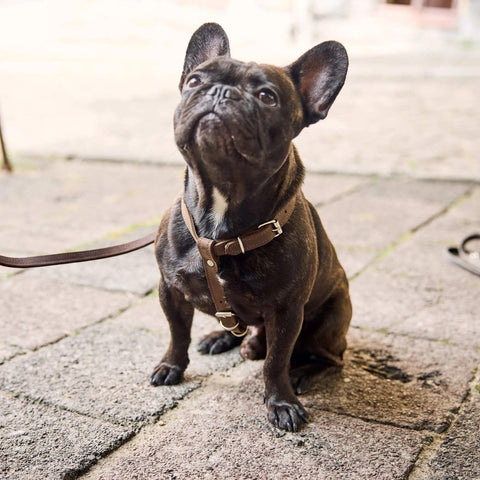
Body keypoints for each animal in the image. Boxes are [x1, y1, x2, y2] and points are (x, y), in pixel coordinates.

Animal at [152, 24, 350, 434]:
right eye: (195, 81)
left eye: (267, 96)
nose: (220, 92)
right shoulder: (170, 289)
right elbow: (177, 333)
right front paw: (171, 366)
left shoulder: (287, 311)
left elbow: (276, 362)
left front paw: (281, 402)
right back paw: (221, 338)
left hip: (329, 321)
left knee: (327, 359)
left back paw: (301, 373)